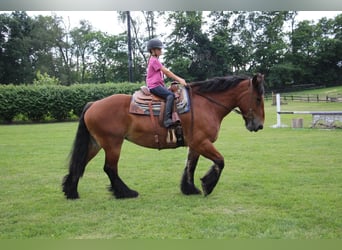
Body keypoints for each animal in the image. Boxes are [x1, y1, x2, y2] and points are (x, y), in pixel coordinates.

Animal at [62, 73, 264, 199]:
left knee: (79, 164)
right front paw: (207, 185)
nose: (259, 125)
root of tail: (93, 104)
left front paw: (189, 189)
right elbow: (220, 161)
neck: (205, 105)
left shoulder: (195, 145)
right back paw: (126, 193)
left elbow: (190, 166)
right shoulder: (202, 142)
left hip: (95, 144)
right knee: (110, 168)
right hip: (112, 144)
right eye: (258, 98)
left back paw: (71, 192)